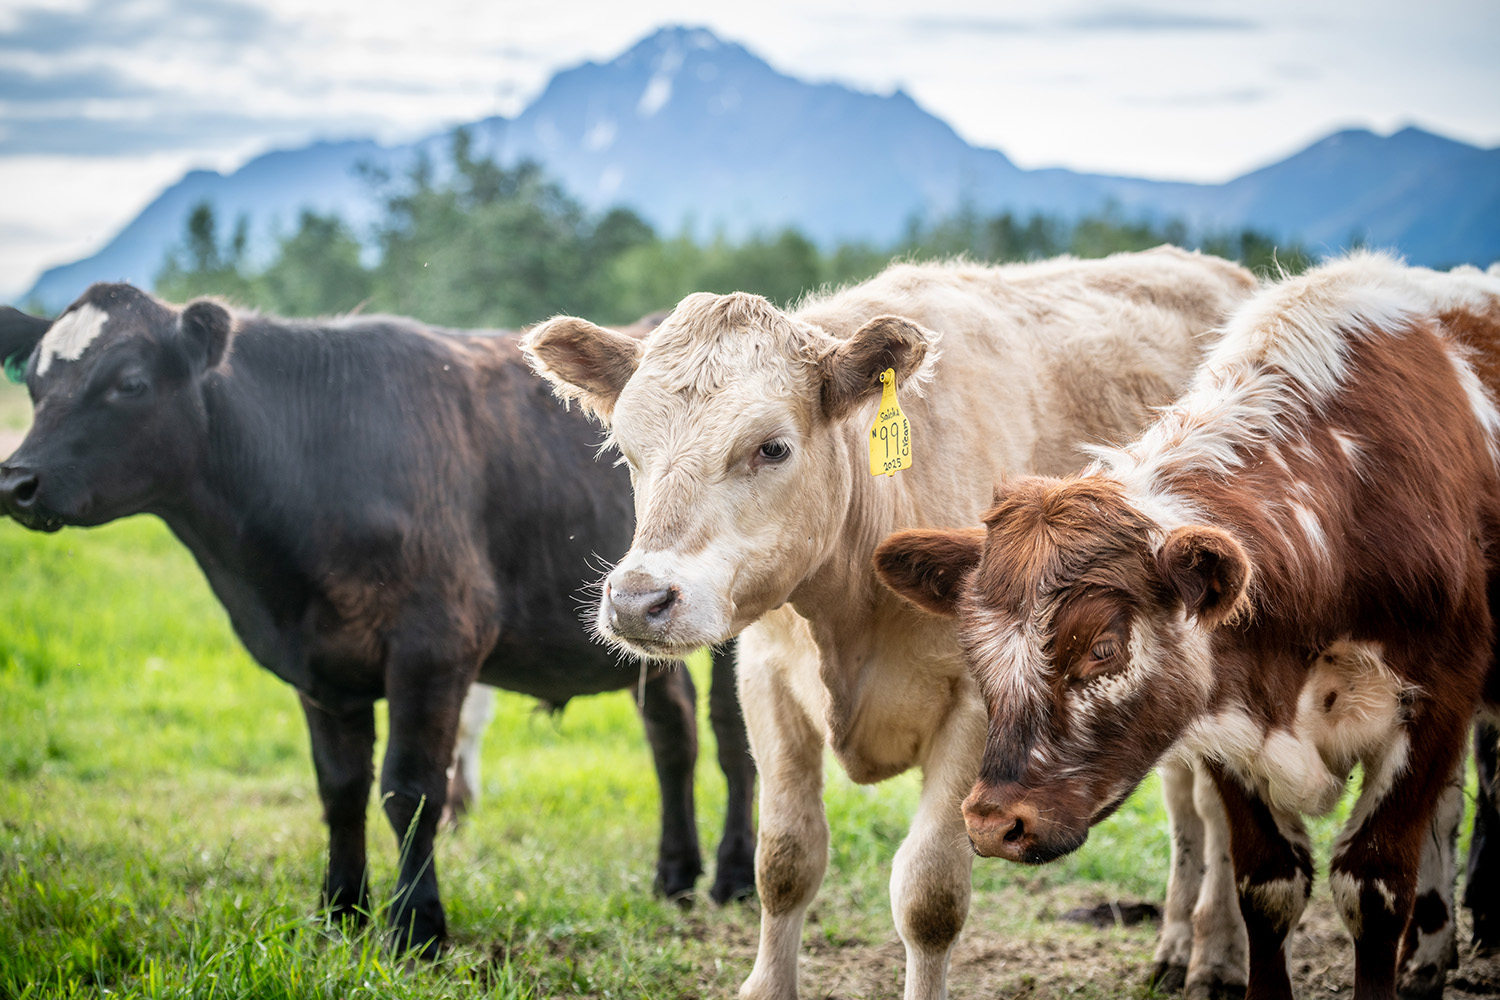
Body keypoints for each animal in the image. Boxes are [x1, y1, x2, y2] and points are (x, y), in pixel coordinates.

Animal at [0, 283, 758, 957]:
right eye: (34, 382)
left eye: (128, 382)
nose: (17, 481)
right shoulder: (321, 667)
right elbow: (339, 789)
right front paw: (339, 912)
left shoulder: (436, 646)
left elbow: (411, 788)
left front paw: (417, 928)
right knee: (673, 734)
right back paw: (674, 873)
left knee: (733, 740)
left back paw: (734, 877)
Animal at [520, 247, 1259, 999]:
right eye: (626, 449)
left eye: (772, 447)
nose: (638, 600)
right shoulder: (766, 683)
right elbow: (785, 863)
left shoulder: (978, 709)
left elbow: (929, 895)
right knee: (1183, 802)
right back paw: (1175, 945)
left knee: (1217, 809)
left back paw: (1216, 955)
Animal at [874, 254, 1500, 999]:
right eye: (976, 652)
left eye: (1104, 648)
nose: (996, 822)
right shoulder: (1229, 715)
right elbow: (1268, 888)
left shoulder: (1437, 704)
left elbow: (1373, 888)